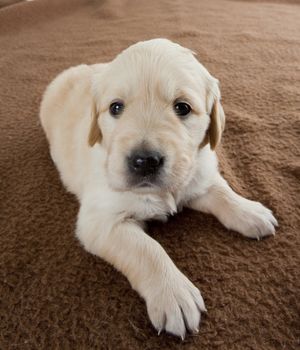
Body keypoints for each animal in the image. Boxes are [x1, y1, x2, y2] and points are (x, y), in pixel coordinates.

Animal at [39, 39, 276, 340]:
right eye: (116, 108)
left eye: (182, 107)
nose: (144, 161)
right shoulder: (101, 221)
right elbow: (147, 250)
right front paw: (174, 295)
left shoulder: (198, 172)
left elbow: (221, 190)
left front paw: (249, 211)